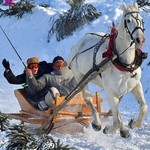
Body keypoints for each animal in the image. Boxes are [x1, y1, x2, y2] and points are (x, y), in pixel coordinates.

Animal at [68, 2, 148, 138]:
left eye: (142, 20)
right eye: (128, 20)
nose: (140, 40)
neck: (125, 64)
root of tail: (78, 43)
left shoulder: (136, 85)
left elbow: (143, 107)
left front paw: (134, 124)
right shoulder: (110, 91)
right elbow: (118, 120)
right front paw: (114, 129)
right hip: (81, 79)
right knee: (88, 99)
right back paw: (97, 123)